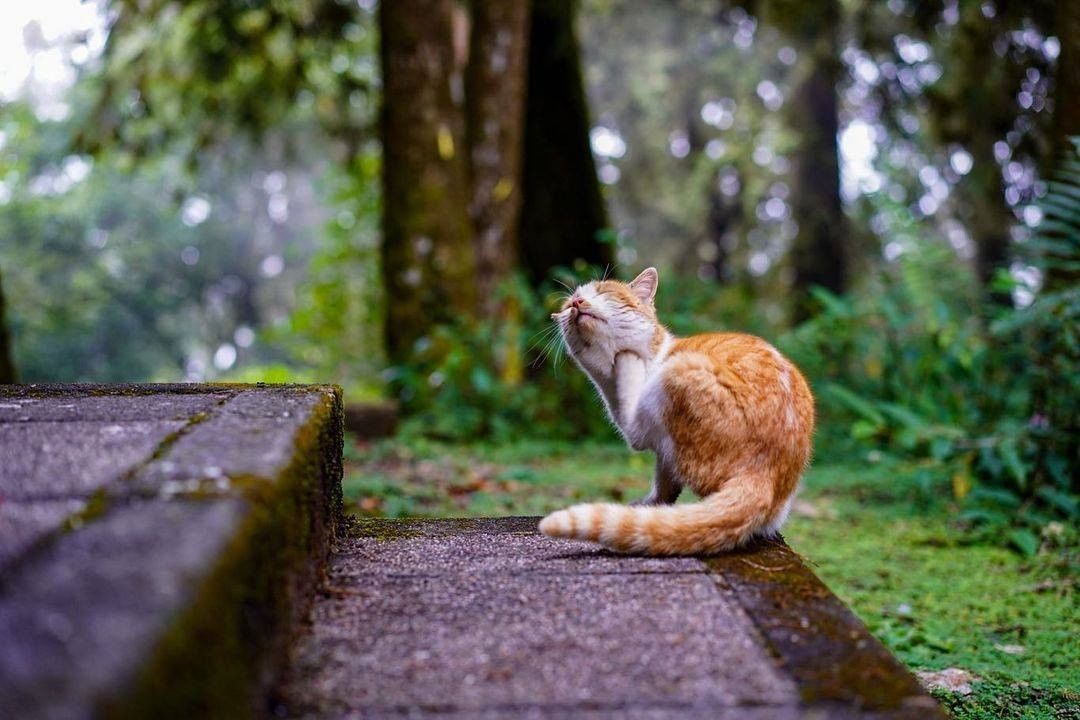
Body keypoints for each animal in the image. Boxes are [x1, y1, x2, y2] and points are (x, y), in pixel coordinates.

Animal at [535, 267, 812, 557]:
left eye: (604, 292)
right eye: (568, 303)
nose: (576, 302)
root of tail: (764, 473)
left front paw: (626, 357)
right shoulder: (664, 454)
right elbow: (666, 487)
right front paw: (652, 506)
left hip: (679, 369)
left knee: (635, 433)